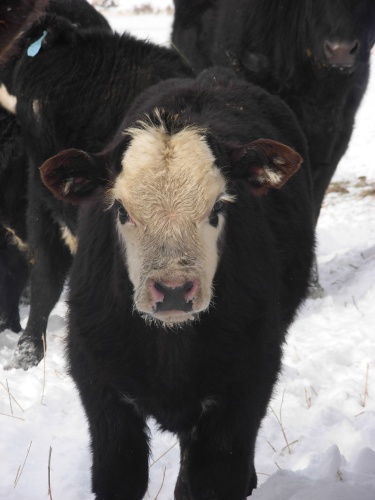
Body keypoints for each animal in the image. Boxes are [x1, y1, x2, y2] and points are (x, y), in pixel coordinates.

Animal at [39, 67, 316, 500]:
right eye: (121, 210)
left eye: (218, 206)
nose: (172, 289)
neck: (169, 351)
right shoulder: (101, 391)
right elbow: (119, 475)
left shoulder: (244, 388)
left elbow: (215, 477)